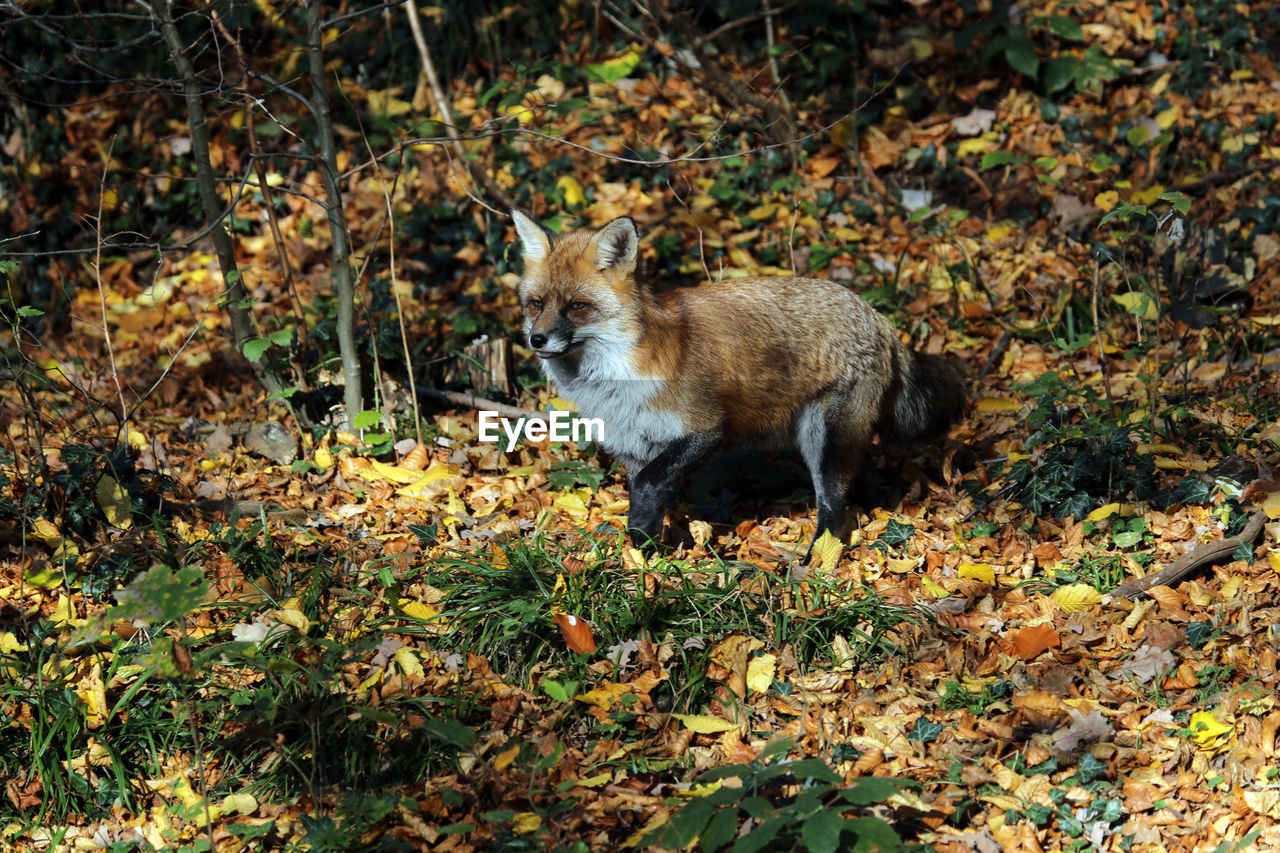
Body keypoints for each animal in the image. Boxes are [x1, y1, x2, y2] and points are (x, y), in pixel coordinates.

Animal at [509, 208, 967, 560]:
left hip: (822, 439)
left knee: (834, 509)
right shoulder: (635, 446)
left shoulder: (704, 428)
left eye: (577, 306)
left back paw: (817, 563)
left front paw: (642, 554)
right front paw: (650, 555)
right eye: (536, 304)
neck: (617, 381)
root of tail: (875, 313)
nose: (536, 340)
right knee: (859, 480)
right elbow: (654, 500)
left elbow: (648, 488)